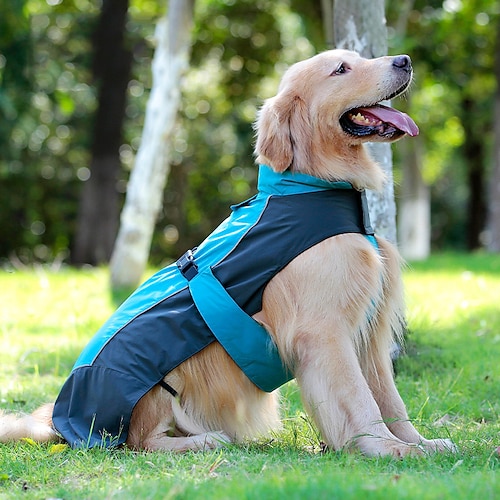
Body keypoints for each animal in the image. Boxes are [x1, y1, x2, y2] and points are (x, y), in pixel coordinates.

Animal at [0, 50, 456, 458]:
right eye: (341, 68)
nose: (405, 61)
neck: (312, 188)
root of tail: (60, 421)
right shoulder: (323, 331)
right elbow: (360, 401)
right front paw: (386, 449)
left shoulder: (368, 333)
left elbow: (390, 400)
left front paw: (419, 443)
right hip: (156, 385)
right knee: (140, 441)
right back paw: (204, 440)